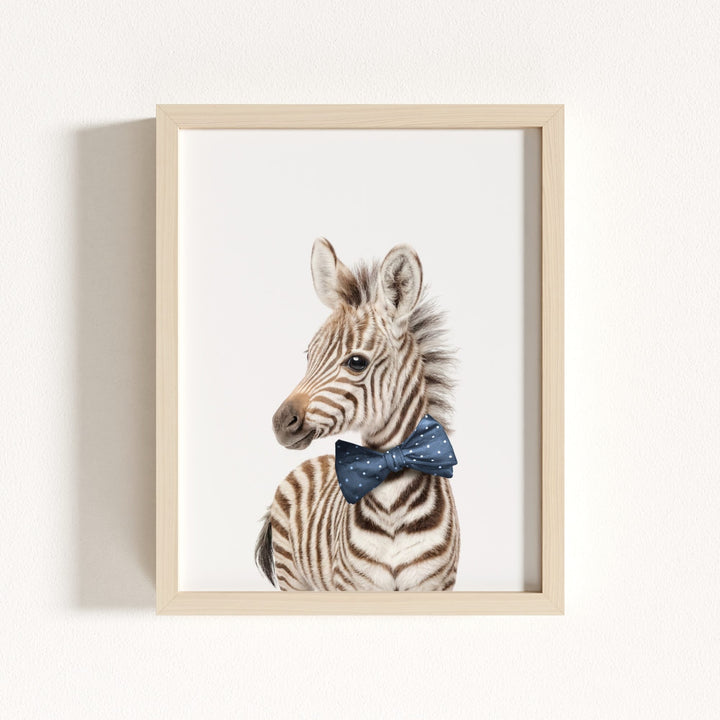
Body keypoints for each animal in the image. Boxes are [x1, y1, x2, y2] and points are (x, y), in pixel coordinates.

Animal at [255, 237, 459, 591]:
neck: (392, 504)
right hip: (292, 576)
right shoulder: (354, 585)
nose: (281, 423)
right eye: (309, 355)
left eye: (356, 362)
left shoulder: (435, 585)